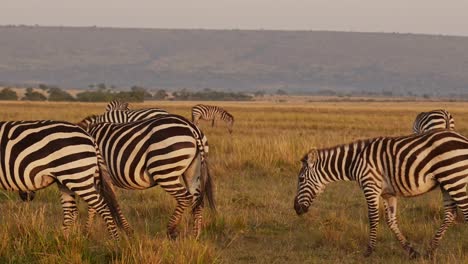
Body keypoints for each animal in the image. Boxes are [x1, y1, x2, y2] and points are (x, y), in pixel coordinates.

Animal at [0, 119, 130, 239]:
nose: (26, 196)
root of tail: (90, 137)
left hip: (78, 177)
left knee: (102, 207)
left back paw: (115, 241)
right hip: (66, 179)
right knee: (70, 212)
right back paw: (63, 243)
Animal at [77, 114, 216, 238]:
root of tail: (191, 127)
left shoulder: (97, 176)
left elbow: (95, 205)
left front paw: (86, 232)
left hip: (164, 171)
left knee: (185, 197)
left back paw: (171, 229)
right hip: (192, 172)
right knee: (198, 201)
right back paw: (195, 235)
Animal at [294, 130, 468, 258]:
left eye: (301, 179)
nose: (296, 208)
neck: (355, 161)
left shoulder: (370, 186)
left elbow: (373, 217)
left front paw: (369, 251)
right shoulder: (387, 193)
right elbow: (390, 221)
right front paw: (411, 251)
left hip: (453, 178)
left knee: (464, 211)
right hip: (446, 183)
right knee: (450, 213)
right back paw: (430, 251)